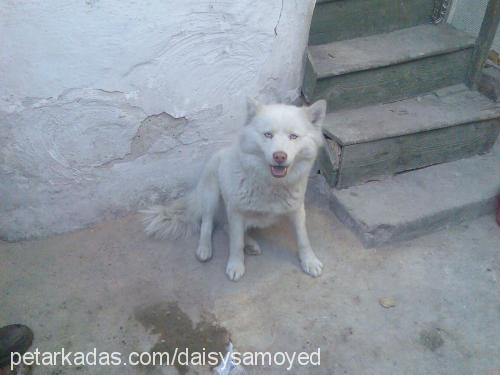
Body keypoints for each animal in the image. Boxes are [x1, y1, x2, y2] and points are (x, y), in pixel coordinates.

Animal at [143, 100, 326, 282]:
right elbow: (236, 243)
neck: (271, 184)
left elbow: (303, 239)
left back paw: (250, 244)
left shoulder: (297, 209)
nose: (279, 156)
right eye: (268, 135)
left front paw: (310, 261)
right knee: (207, 224)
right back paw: (205, 248)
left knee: (225, 226)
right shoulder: (236, 211)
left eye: (293, 136)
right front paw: (235, 265)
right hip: (211, 196)